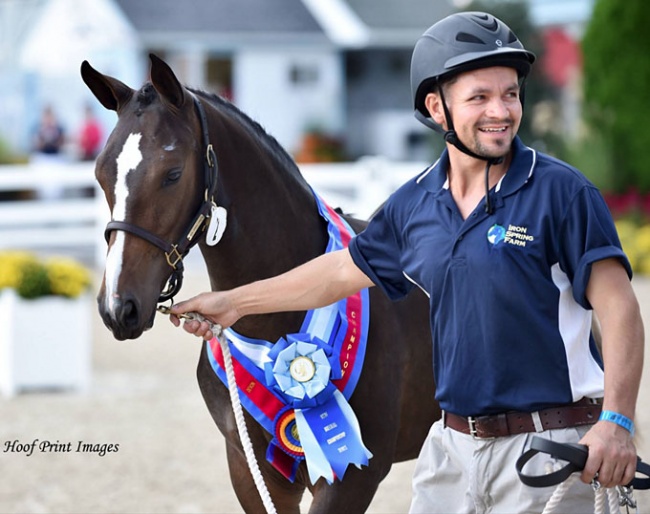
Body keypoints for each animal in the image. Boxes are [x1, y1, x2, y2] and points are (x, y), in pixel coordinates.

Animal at [79, 54, 436, 510]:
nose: (117, 307)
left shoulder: (353, 476)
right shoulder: (251, 470)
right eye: (101, 173)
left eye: (172, 174)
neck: (279, 311)